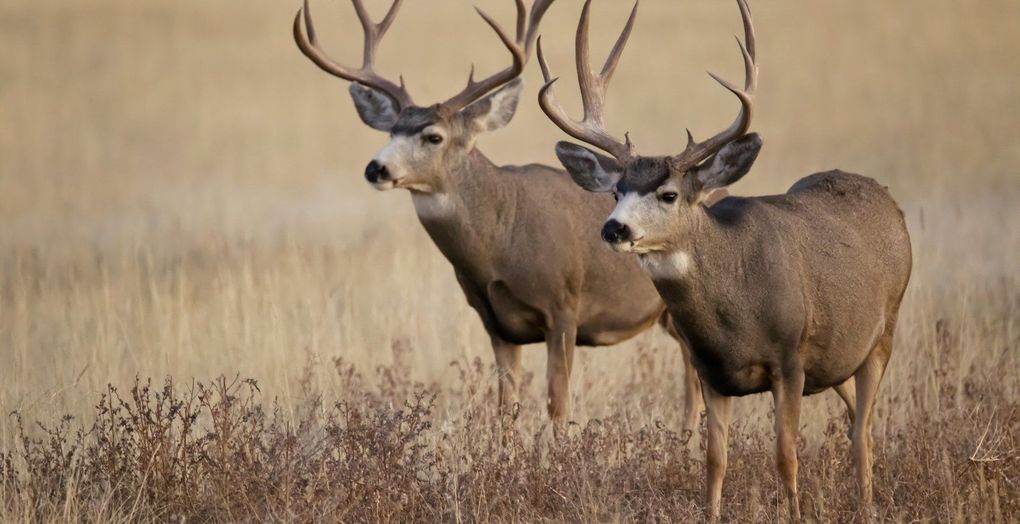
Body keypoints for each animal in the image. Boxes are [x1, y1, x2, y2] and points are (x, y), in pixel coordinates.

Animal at [293, 0, 707, 434]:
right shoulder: (497, 324)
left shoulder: (564, 307)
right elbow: (506, 408)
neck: (501, 240)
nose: (376, 168)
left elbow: (558, 405)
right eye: (390, 130)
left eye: (433, 136)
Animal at [536, 0, 912, 520]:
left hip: (884, 331)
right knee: (858, 418)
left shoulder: (790, 359)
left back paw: (867, 506)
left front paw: (794, 513)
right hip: (839, 354)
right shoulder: (710, 369)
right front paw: (711, 512)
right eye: (616, 191)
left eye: (669, 193)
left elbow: (785, 454)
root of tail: (889, 202)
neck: (734, 311)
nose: (614, 229)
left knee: (863, 435)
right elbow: (714, 459)